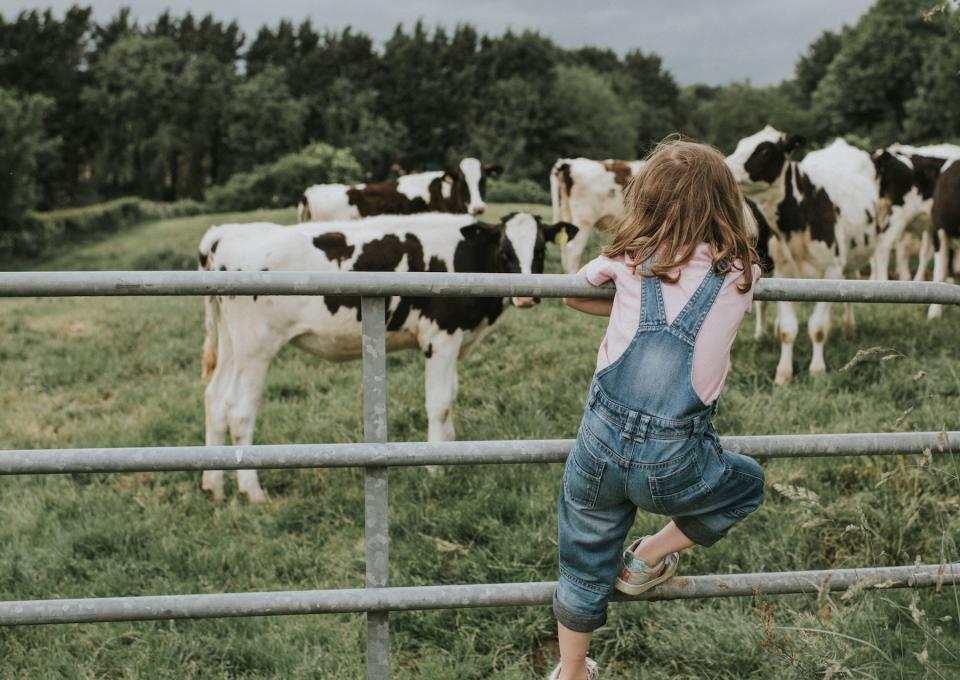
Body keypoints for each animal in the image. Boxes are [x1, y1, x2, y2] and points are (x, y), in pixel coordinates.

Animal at [197, 210, 576, 502]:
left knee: (215, 400)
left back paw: (214, 486)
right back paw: (253, 491)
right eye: (504, 248)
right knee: (239, 411)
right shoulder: (440, 338)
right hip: (255, 347)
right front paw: (434, 467)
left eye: (540, 248)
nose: (526, 296)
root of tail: (225, 232)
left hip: (231, 344)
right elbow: (439, 403)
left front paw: (451, 449)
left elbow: (451, 397)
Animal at [728, 125, 876, 386]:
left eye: (764, 150)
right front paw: (783, 373)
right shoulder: (784, 273)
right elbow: (788, 329)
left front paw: (817, 370)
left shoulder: (831, 273)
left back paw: (849, 329)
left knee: (851, 289)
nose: (725, 164)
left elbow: (818, 327)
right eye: (741, 144)